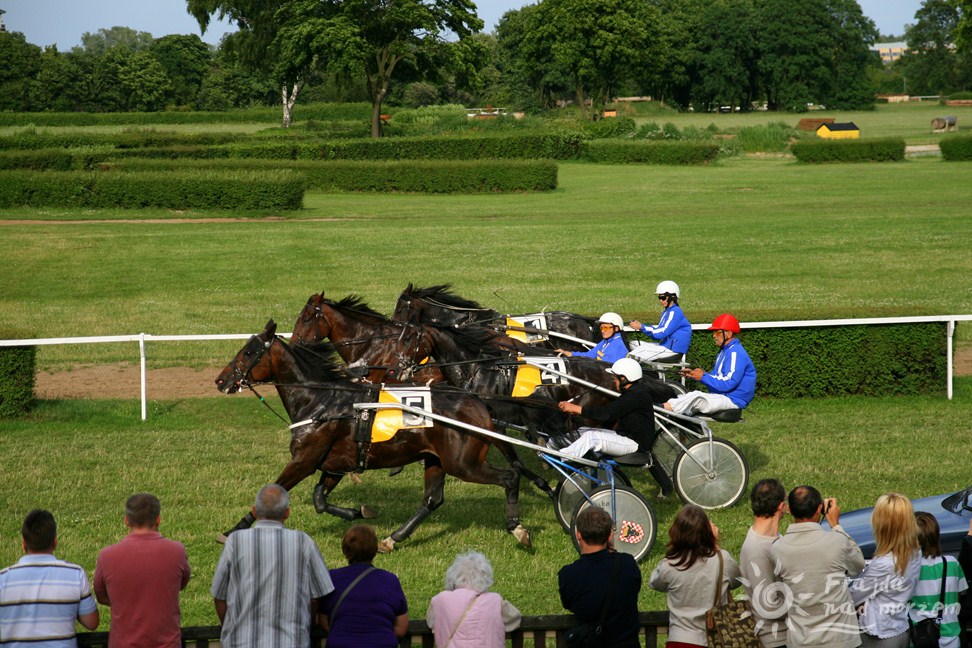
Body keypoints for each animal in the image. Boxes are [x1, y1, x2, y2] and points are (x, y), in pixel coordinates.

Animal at [215, 318, 540, 552]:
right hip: (436, 460)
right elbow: (320, 500)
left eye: (248, 352)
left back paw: (517, 527)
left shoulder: (303, 461)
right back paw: (393, 538)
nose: (221, 380)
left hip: (464, 463)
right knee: (432, 500)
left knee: (509, 477)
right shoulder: (336, 464)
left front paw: (231, 531)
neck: (322, 401)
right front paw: (359, 512)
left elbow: (276, 491)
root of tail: (477, 403)